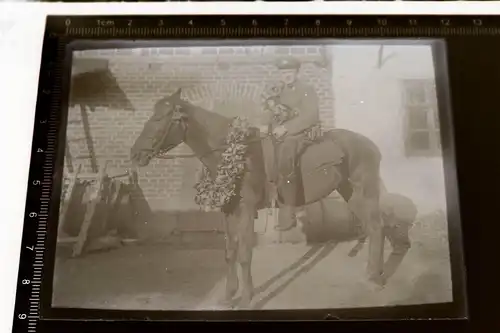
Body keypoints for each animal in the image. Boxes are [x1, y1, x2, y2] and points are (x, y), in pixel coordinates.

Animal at [133, 87, 390, 306]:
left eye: (160, 118)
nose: (135, 154)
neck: (235, 153)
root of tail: (371, 146)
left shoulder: (246, 210)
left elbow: (245, 253)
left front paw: (247, 298)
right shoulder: (228, 210)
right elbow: (229, 252)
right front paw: (229, 296)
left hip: (364, 191)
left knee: (377, 227)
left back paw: (375, 280)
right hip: (350, 193)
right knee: (372, 228)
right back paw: (371, 275)